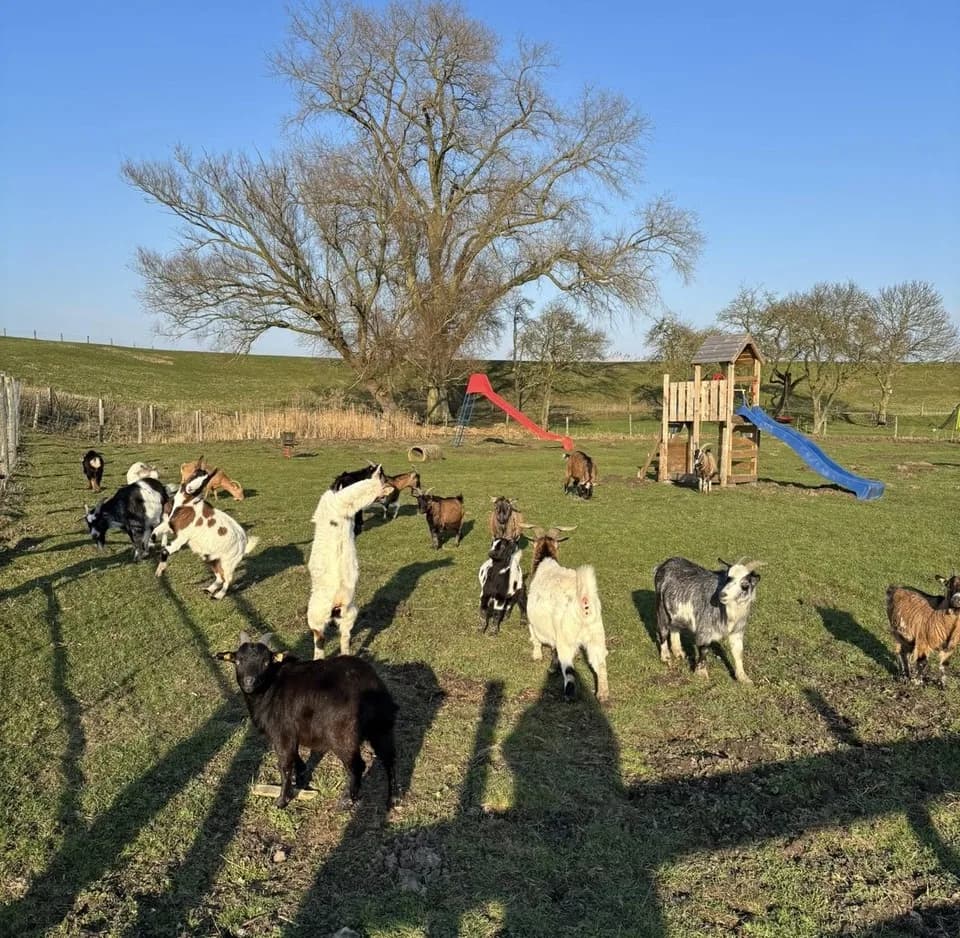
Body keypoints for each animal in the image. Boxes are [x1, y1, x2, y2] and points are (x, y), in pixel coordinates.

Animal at [152, 468, 258, 599]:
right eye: (194, 474)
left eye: (205, 481)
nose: (190, 489)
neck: (188, 505)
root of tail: (244, 543)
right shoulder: (169, 525)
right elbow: (154, 533)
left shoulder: (183, 537)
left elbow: (165, 550)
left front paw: (160, 570)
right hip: (213, 558)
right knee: (219, 576)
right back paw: (209, 589)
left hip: (229, 561)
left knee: (227, 578)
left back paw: (219, 595)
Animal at [214, 632, 398, 809]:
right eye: (238, 661)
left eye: (266, 662)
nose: (249, 682)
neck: (269, 689)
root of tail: (369, 683)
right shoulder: (291, 734)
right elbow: (294, 756)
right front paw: (301, 778)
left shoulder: (281, 733)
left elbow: (285, 764)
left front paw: (282, 800)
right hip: (381, 727)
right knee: (389, 758)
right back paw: (392, 799)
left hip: (343, 735)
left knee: (358, 766)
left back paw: (347, 800)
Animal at [307, 467, 394, 658]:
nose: (387, 501)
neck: (344, 505)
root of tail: (338, 600)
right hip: (350, 614)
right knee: (345, 638)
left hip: (316, 614)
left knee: (319, 639)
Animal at [524, 525, 608, 701]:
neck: (545, 562)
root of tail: (583, 601)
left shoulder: (533, 622)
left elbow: (536, 640)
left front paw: (538, 657)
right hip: (596, 634)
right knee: (600, 663)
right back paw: (603, 695)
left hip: (567, 638)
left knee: (569, 671)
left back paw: (568, 695)